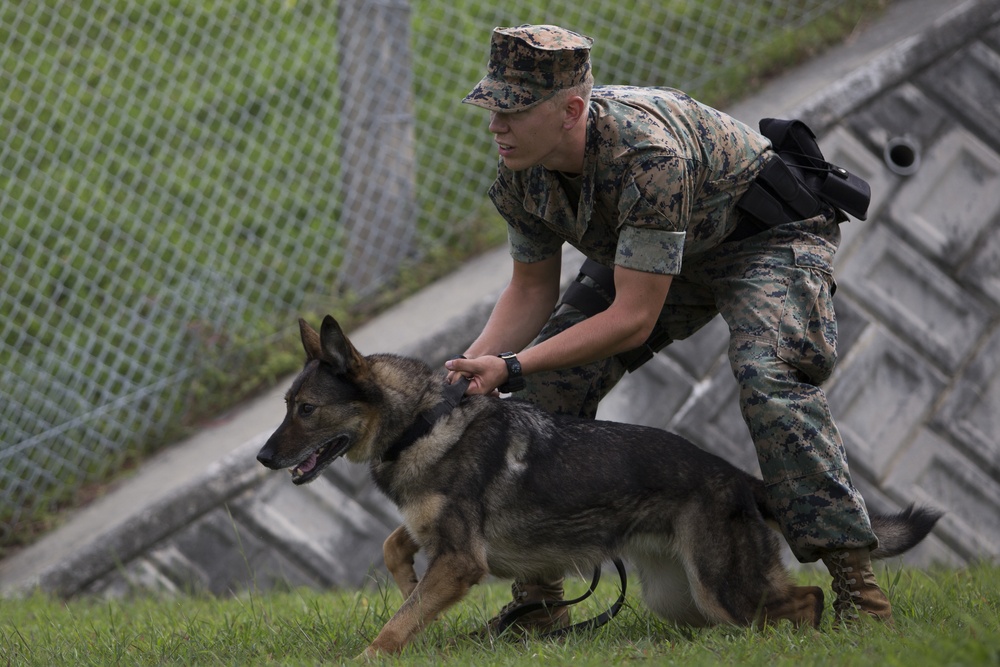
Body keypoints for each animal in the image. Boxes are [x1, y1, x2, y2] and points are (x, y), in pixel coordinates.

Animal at [256, 318, 936, 656]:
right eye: (287, 406)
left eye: (307, 410)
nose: (263, 457)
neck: (420, 422)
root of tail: (737, 475)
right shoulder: (441, 542)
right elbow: (396, 548)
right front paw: (404, 584)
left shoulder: (461, 561)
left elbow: (396, 627)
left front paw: (375, 650)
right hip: (681, 596)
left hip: (721, 588)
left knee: (805, 602)